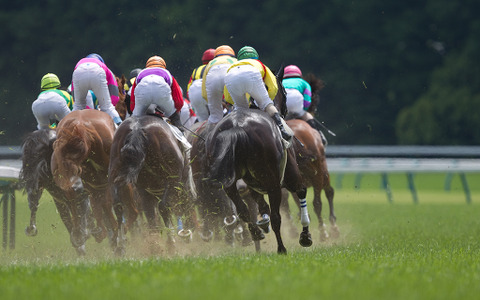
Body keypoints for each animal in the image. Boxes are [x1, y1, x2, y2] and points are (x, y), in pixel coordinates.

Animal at [109, 115, 197, 255]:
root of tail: (137, 129)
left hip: (116, 176)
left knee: (118, 206)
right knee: (164, 207)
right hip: (171, 180)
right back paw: (171, 244)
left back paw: (121, 245)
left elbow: (150, 214)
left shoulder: (144, 190)